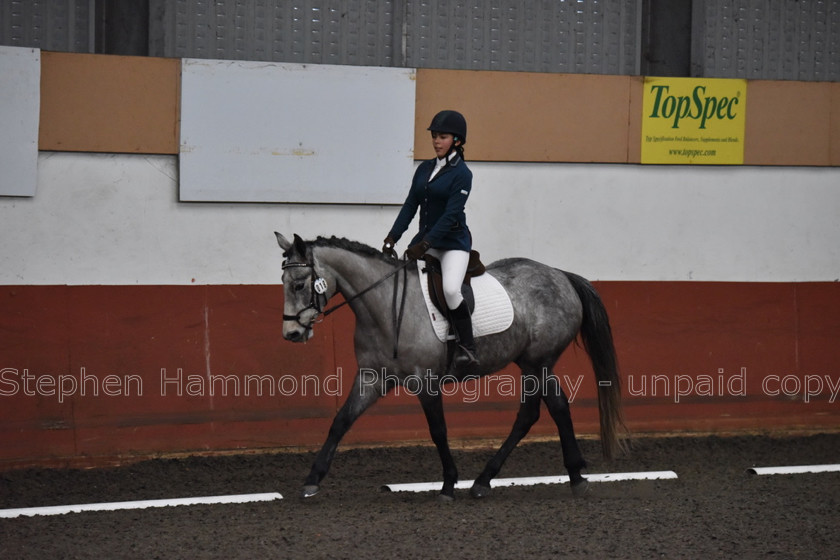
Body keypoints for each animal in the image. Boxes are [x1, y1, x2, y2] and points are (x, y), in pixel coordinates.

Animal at [276, 232, 624, 498]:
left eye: (298, 284)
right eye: (282, 281)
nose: (291, 334)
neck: (384, 308)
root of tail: (559, 274)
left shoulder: (426, 382)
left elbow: (438, 430)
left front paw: (448, 483)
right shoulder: (371, 378)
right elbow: (341, 421)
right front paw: (312, 480)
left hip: (538, 362)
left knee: (536, 412)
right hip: (533, 363)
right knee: (551, 408)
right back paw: (560, 477)